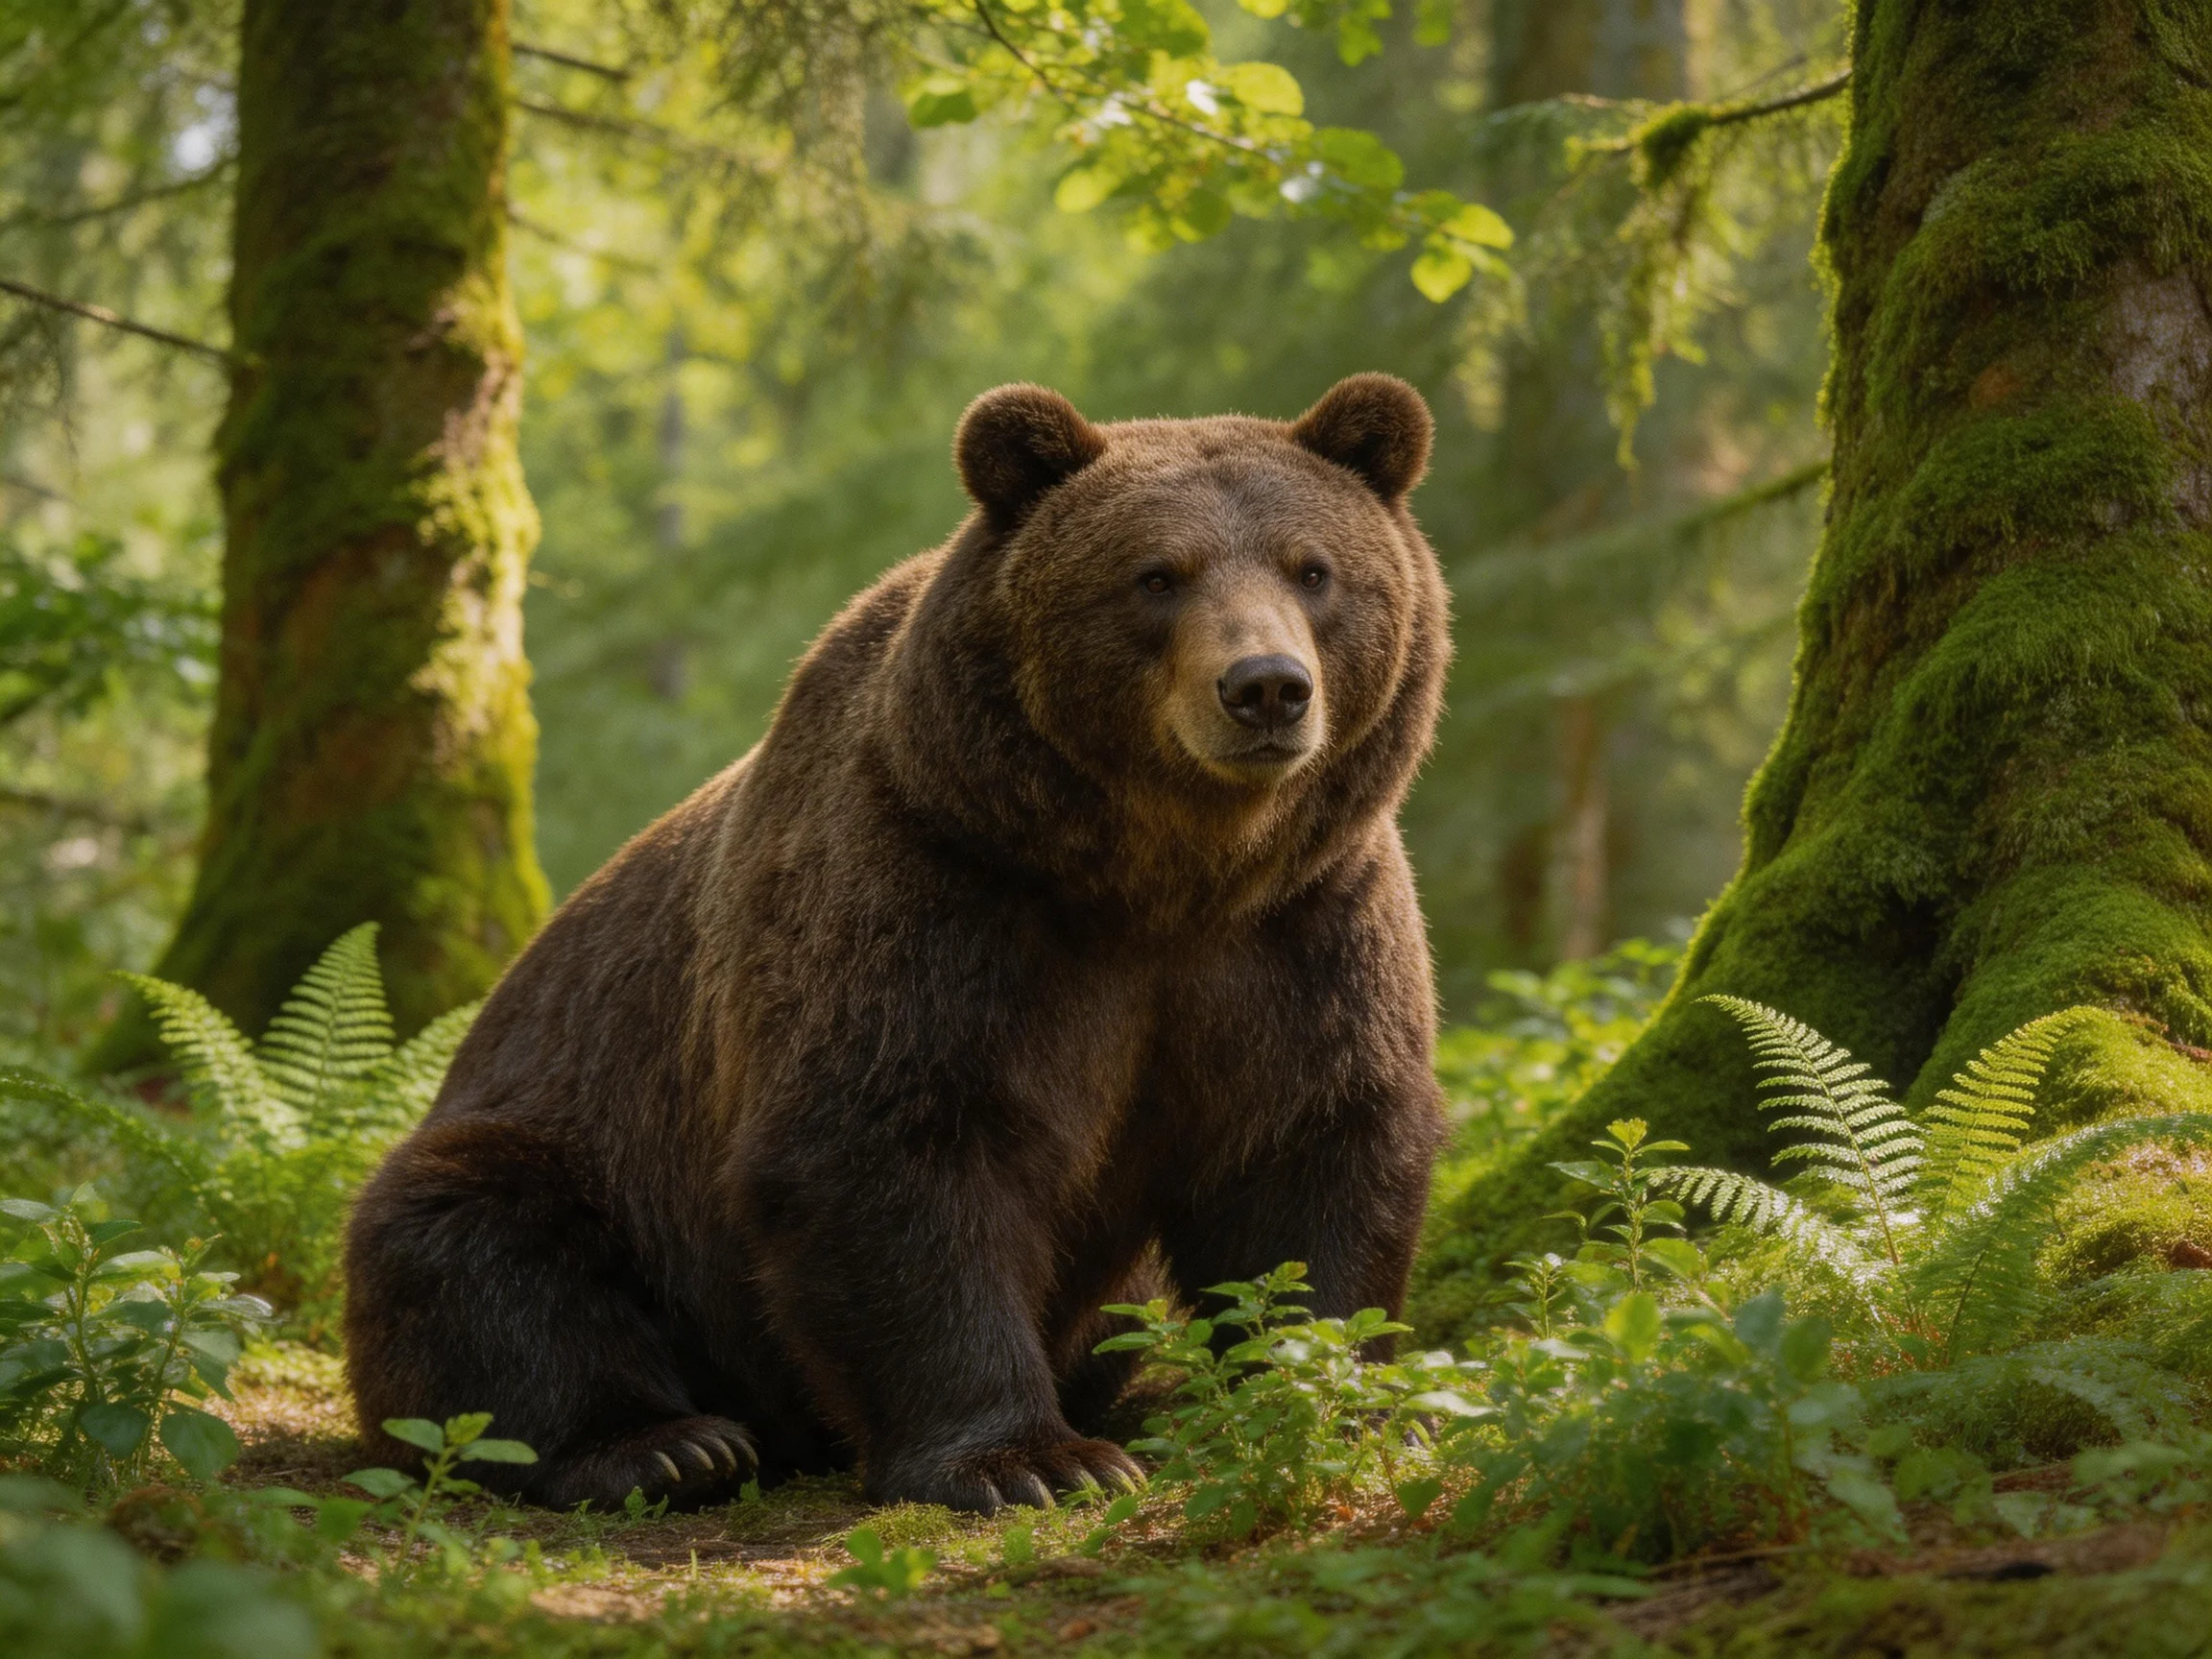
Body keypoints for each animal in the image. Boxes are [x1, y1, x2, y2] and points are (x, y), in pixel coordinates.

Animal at [342, 373, 1452, 1513]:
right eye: (1156, 576)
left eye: (1313, 569)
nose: (1266, 685)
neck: (1161, 875)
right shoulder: (934, 889)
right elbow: (894, 1145)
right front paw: (1029, 1460)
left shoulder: (1299, 925)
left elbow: (1311, 1151)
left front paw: (1340, 1402)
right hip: (582, 1138)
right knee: (474, 1236)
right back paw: (665, 1445)